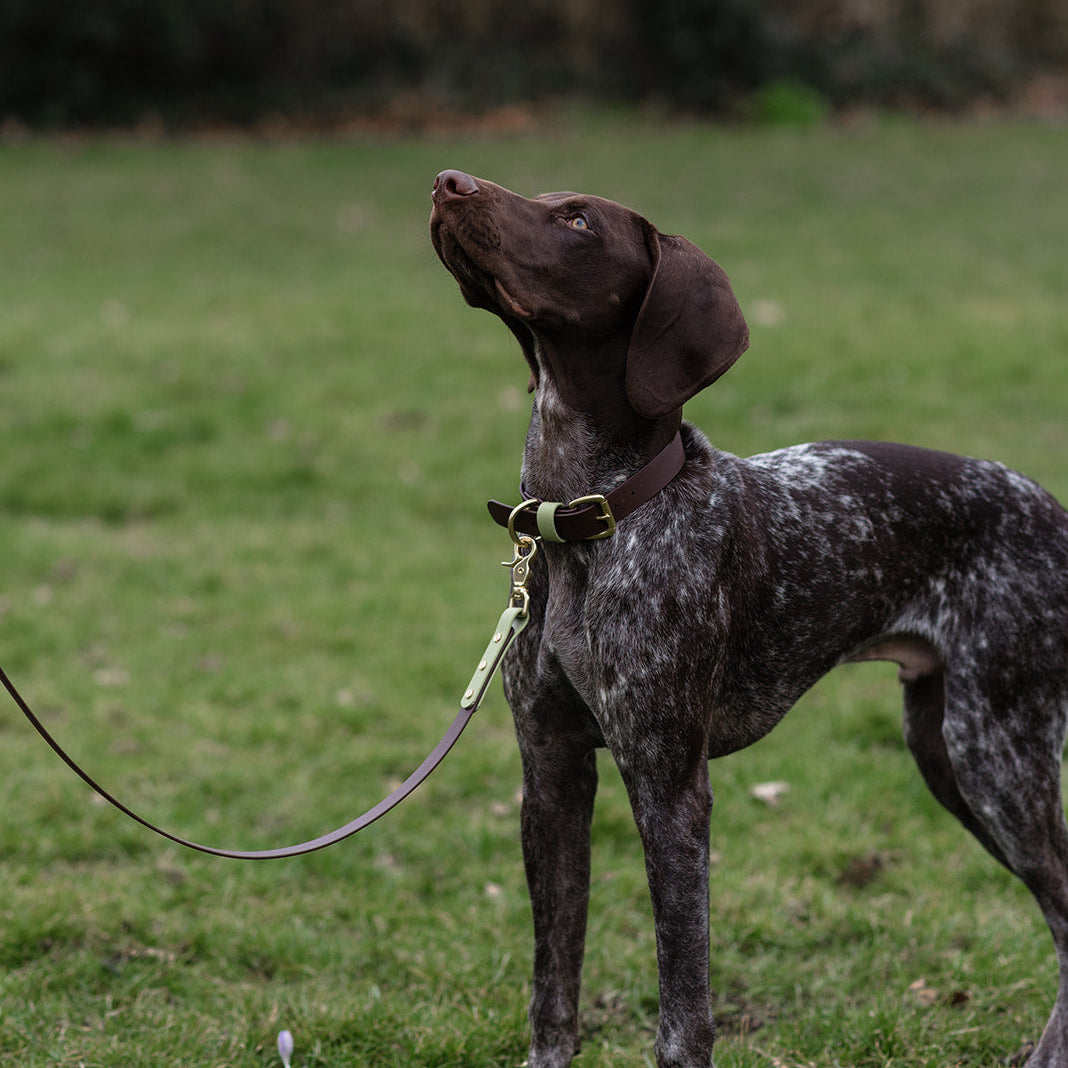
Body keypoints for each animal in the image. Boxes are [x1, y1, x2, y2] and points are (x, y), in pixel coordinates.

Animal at [427, 168, 1068, 1068]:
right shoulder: (551, 774)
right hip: (946, 749)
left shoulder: (668, 785)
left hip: (998, 757)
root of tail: (1056, 513)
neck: (593, 519)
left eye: (579, 221)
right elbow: (554, 989)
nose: (449, 182)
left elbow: (682, 1012)